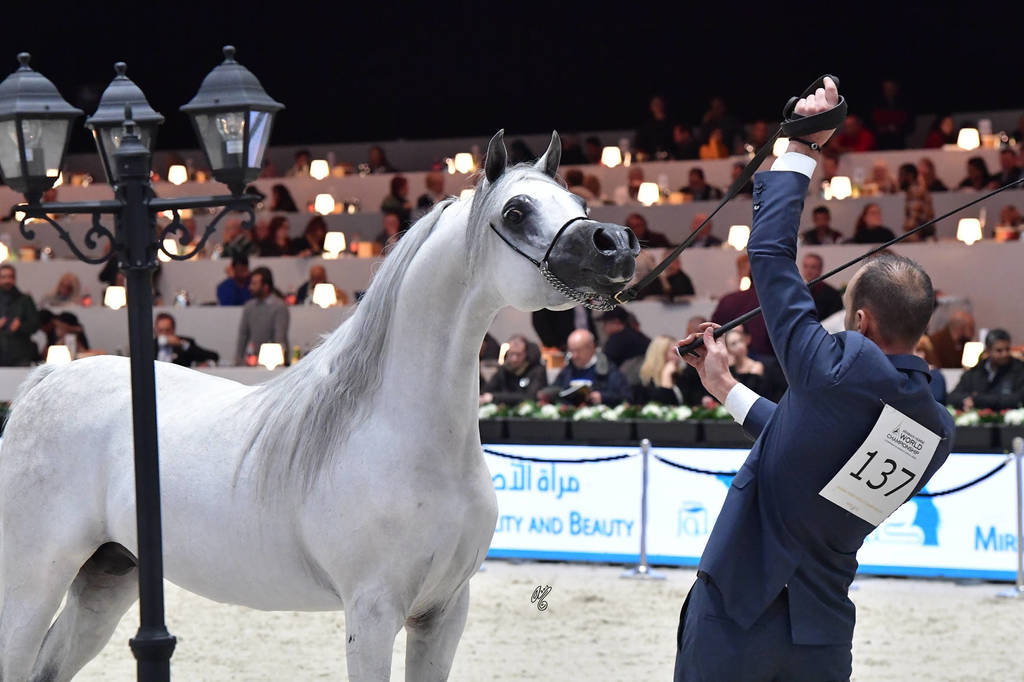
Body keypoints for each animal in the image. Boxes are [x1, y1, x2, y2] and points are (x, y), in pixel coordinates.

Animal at [0, 130, 639, 681]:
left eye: (578, 201)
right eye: (515, 212)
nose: (617, 246)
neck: (408, 438)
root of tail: (47, 380)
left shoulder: (443, 613)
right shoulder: (372, 612)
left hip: (106, 578)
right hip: (32, 582)